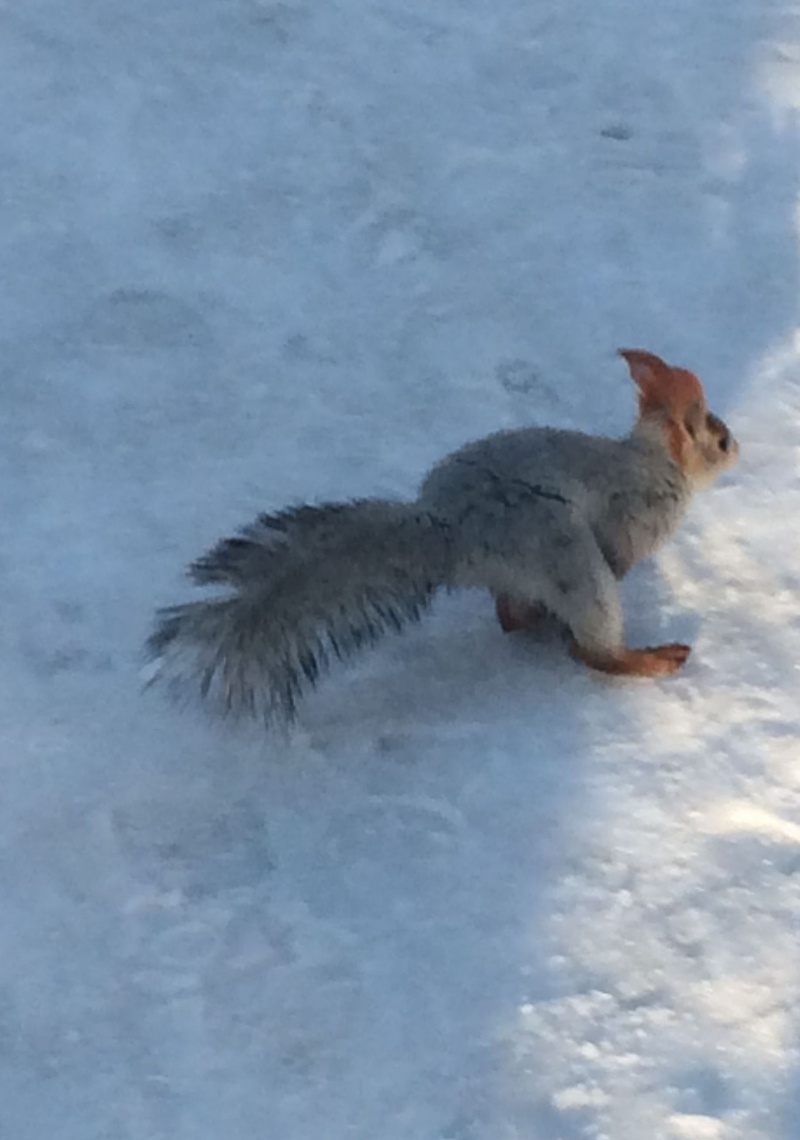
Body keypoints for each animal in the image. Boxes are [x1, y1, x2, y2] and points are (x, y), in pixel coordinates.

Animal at [147, 349, 738, 724]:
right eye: (717, 437)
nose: (737, 448)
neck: (653, 461)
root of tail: (452, 533)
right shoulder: (630, 516)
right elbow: (619, 549)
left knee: (511, 616)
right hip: (569, 560)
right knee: (587, 648)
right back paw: (649, 657)